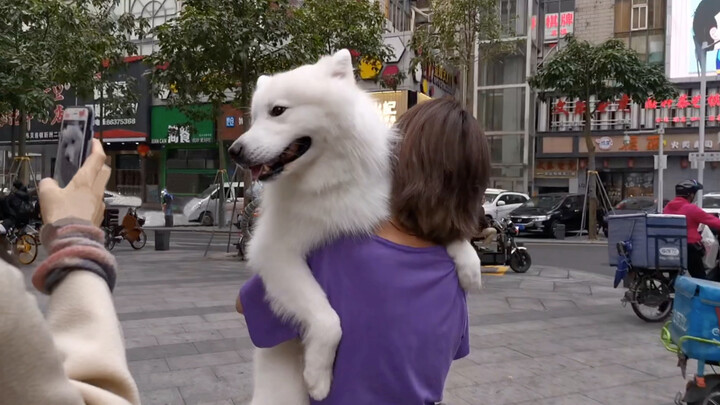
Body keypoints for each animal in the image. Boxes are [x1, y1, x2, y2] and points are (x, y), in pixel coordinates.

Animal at [228, 49, 480, 402]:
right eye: (253, 116)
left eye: (277, 111)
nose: (233, 151)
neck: (330, 179)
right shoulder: (275, 252)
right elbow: (328, 318)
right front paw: (318, 379)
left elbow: (447, 231)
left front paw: (471, 266)